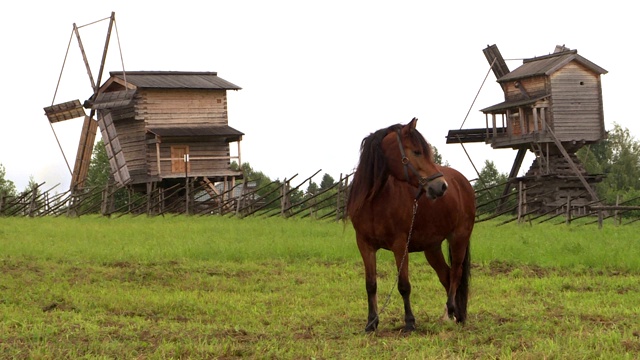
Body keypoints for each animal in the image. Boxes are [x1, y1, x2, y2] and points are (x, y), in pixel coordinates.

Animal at [344, 118, 476, 332]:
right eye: (416, 151)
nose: (441, 186)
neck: (375, 201)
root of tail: (462, 182)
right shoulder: (365, 245)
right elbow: (370, 284)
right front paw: (371, 323)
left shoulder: (400, 245)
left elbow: (404, 285)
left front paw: (409, 322)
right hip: (432, 248)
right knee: (446, 275)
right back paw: (456, 314)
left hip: (459, 238)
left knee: (456, 273)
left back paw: (450, 310)